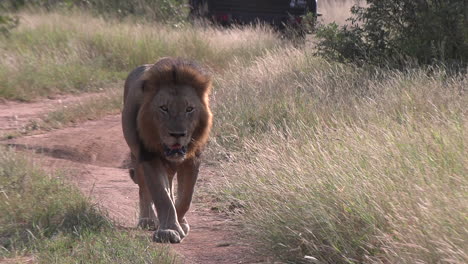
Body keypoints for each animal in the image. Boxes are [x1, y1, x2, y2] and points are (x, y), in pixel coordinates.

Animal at [122, 57, 214, 243]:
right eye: (163, 108)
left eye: (189, 109)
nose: (177, 134)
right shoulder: (148, 156)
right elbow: (161, 196)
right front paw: (168, 230)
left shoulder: (193, 159)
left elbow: (185, 197)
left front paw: (180, 223)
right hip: (136, 156)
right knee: (144, 189)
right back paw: (148, 220)